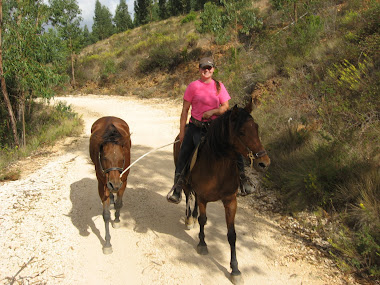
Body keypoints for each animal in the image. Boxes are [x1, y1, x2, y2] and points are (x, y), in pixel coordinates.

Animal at [89, 115, 132, 253]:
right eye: (104, 158)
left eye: (122, 158)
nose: (114, 184)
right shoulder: (102, 185)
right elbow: (106, 214)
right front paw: (107, 243)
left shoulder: (124, 181)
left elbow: (118, 203)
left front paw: (117, 220)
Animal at [174, 101, 268, 282]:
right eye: (241, 132)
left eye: (257, 128)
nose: (264, 163)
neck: (217, 166)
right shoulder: (203, 198)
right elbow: (203, 220)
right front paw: (202, 244)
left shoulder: (230, 201)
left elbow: (232, 234)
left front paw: (235, 269)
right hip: (185, 180)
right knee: (188, 196)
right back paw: (189, 219)